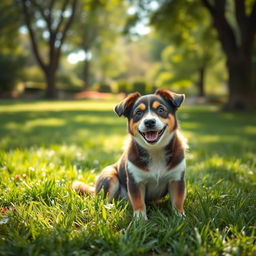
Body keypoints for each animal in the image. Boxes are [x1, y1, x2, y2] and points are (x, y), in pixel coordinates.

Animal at [73, 89, 187, 219]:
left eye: (161, 110)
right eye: (138, 112)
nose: (149, 122)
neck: (155, 151)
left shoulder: (177, 179)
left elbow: (178, 200)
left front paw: (179, 216)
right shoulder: (135, 181)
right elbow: (138, 201)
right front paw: (140, 219)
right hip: (109, 175)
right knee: (101, 200)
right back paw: (110, 207)